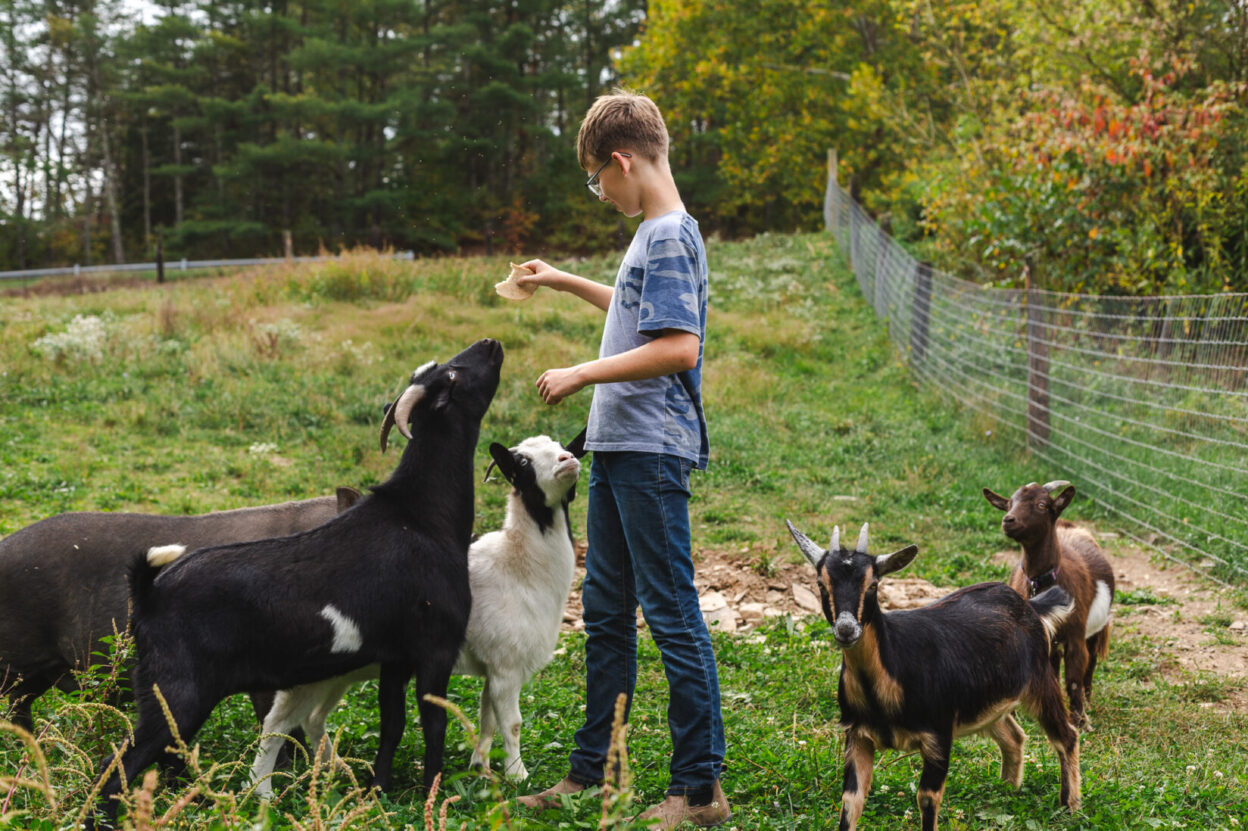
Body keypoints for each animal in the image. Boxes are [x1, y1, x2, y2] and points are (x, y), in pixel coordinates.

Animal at [84, 339, 506, 828]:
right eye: (453, 376)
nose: (491, 344)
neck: (421, 516)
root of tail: (148, 592)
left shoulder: (395, 657)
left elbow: (392, 723)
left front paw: (378, 792)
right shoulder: (435, 647)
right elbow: (434, 723)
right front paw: (430, 796)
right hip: (176, 693)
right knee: (117, 765)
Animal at [247, 429, 589, 793]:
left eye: (563, 447)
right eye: (523, 462)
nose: (568, 461)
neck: (517, 566)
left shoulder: (493, 668)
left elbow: (487, 721)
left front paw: (480, 769)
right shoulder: (506, 666)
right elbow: (511, 724)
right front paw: (518, 776)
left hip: (336, 673)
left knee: (312, 718)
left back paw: (335, 770)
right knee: (276, 721)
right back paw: (263, 788)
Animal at [783, 519, 1078, 828]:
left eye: (873, 584)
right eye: (821, 583)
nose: (846, 629)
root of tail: (1030, 606)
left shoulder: (938, 732)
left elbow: (927, 798)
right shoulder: (857, 734)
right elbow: (851, 800)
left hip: (1041, 681)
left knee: (1066, 736)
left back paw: (1069, 806)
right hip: (987, 702)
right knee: (1014, 736)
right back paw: (1007, 791)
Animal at [978, 479, 1118, 723]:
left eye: (1042, 504)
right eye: (1010, 503)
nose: (1008, 520)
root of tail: (1069, 526)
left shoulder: (1075, 636)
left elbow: (1074, 678)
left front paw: (1079, 721)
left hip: (1096, 628)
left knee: (1090, 662)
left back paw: (1088, 702)